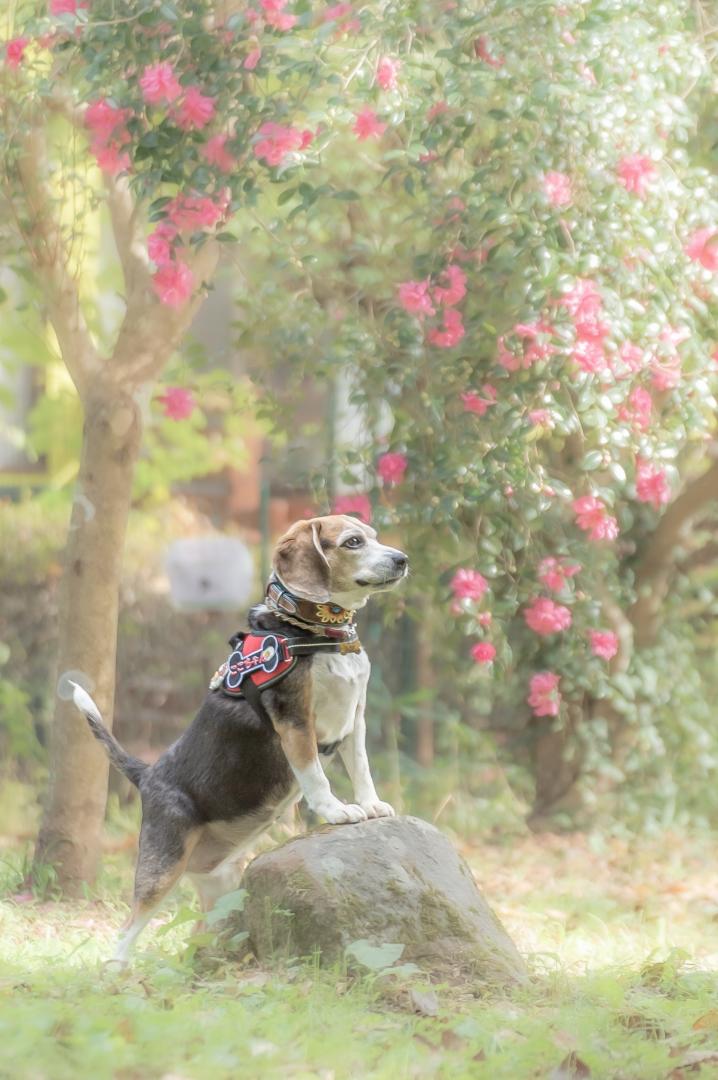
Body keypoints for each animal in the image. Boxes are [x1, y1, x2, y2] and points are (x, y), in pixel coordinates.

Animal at [73, 514, 408, 963]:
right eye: (353, 542)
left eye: (374, 536)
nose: (402, 559)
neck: (317, 632)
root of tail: (146, 775)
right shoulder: (295, 721)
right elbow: (316, 777)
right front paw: (337, 811)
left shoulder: (355, 718)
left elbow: (362, 769)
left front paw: (371, 805)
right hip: (161, 871)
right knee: (127, 931)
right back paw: (117, 970)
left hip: (222, 887)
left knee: (202, 935)